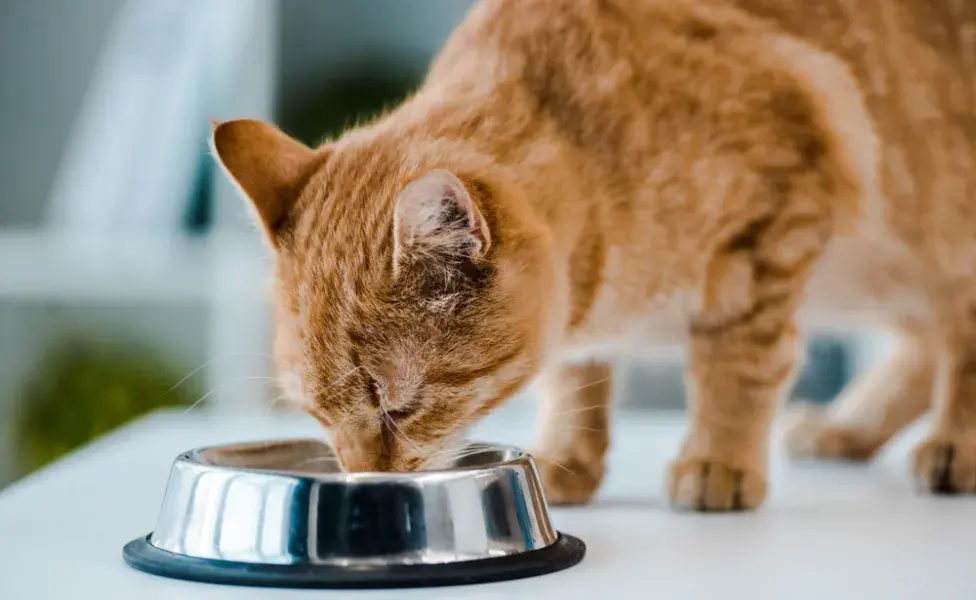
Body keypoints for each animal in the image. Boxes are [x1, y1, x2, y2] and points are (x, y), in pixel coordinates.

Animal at [214, 0, 976, 510]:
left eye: (396, 407)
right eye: (315, 414)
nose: (363, 478)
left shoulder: (775, 227)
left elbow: (736, 367)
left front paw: (718, 458)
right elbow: (574, 377)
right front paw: (566, 456)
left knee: (956, 336)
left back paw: (953, 446)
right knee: (924, 343)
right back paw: (847, 429)